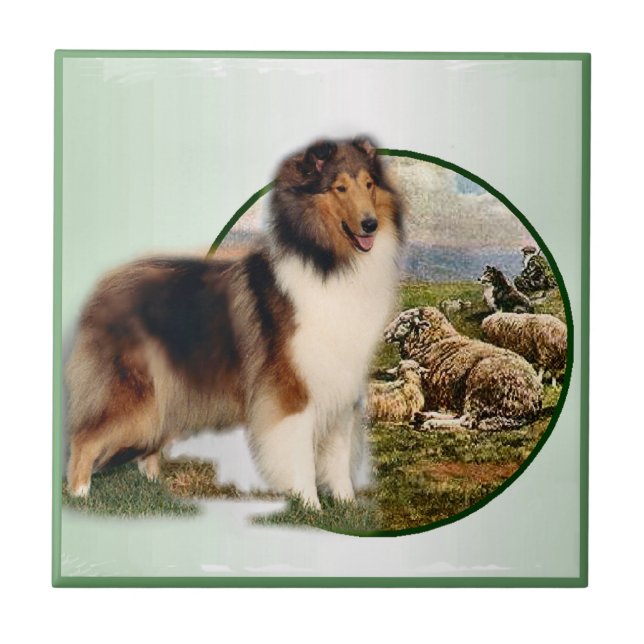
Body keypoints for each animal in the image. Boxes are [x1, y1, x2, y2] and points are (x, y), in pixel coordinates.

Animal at [384, 307, 543, 431]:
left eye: (404, 320)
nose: (385, 334)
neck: (432, 343)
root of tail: (533, 399)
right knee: (460, 415)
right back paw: (424, 416)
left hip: (478, 387)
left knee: (467, 419)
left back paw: (430, 422)